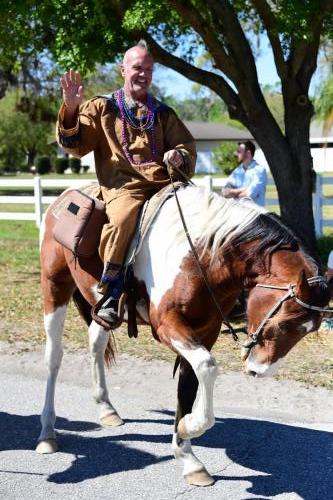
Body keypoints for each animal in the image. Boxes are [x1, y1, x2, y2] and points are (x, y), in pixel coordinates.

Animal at [37, 184, 330, 484]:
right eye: (284, 324)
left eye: (308, 331)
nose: (260, 371)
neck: (203, 255)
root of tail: (61, 199)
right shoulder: (168, 325)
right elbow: (207, 366)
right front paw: (191, 427)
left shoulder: (205, 330)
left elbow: (189, 385)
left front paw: (188, 455)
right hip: (55, 286)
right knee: (54, 357)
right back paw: (47, 433)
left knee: (96, 343)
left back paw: (106, 408)